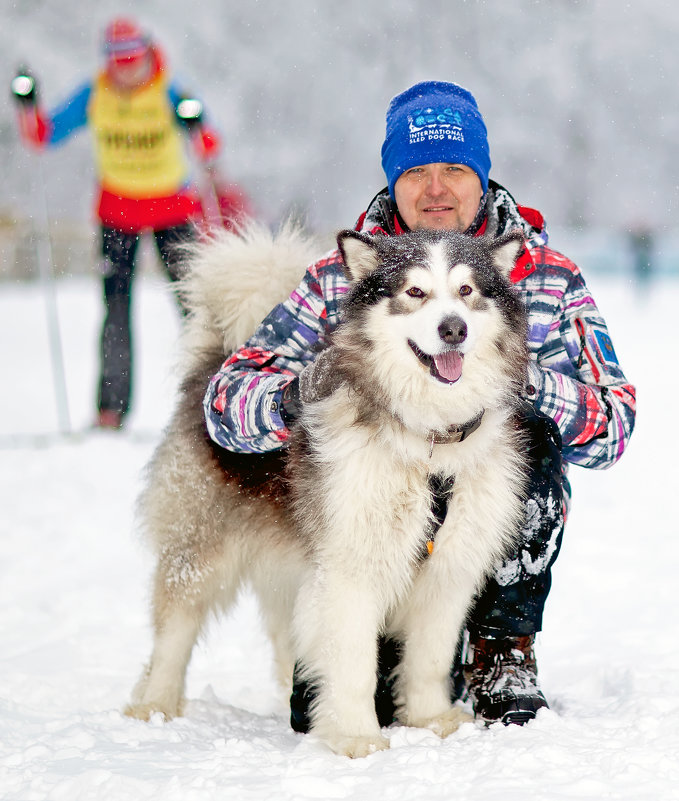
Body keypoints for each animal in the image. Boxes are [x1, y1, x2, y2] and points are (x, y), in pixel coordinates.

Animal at [126, 223, 532, 756]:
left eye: (466, 291)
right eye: (414, 292)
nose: (453, 329)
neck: (428, 442)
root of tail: (216, 361)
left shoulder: (449, 570)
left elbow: (429, 659)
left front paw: (429, 719)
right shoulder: (351, 564)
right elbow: (354, 660)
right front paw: (356, 737)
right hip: (200, 544)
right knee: (174, 627)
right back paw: (154, 704)